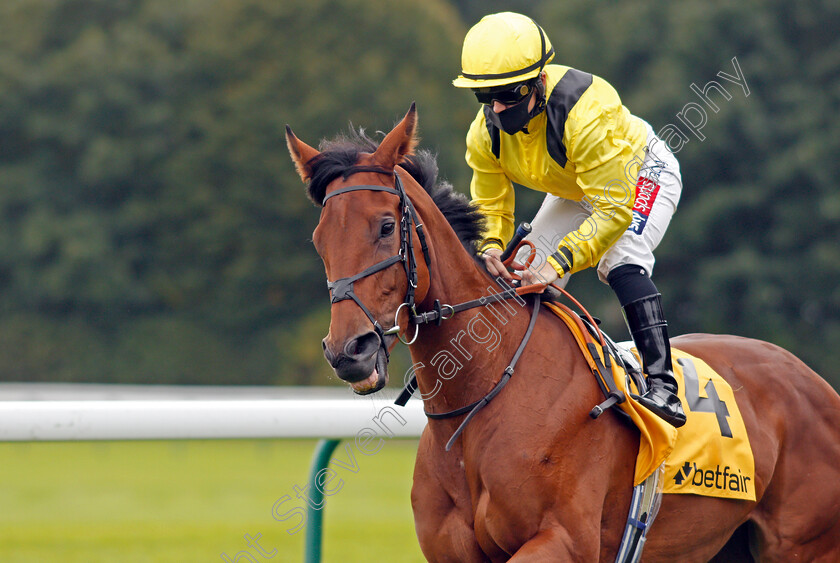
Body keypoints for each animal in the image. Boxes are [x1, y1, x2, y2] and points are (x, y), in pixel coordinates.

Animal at [288, 104, 840, 560]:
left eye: (386, 227)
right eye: (319, 239)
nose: (349, 351)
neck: (483, 394)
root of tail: (812, 380)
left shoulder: (561, 541)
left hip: (805, 546)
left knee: (627, 262)